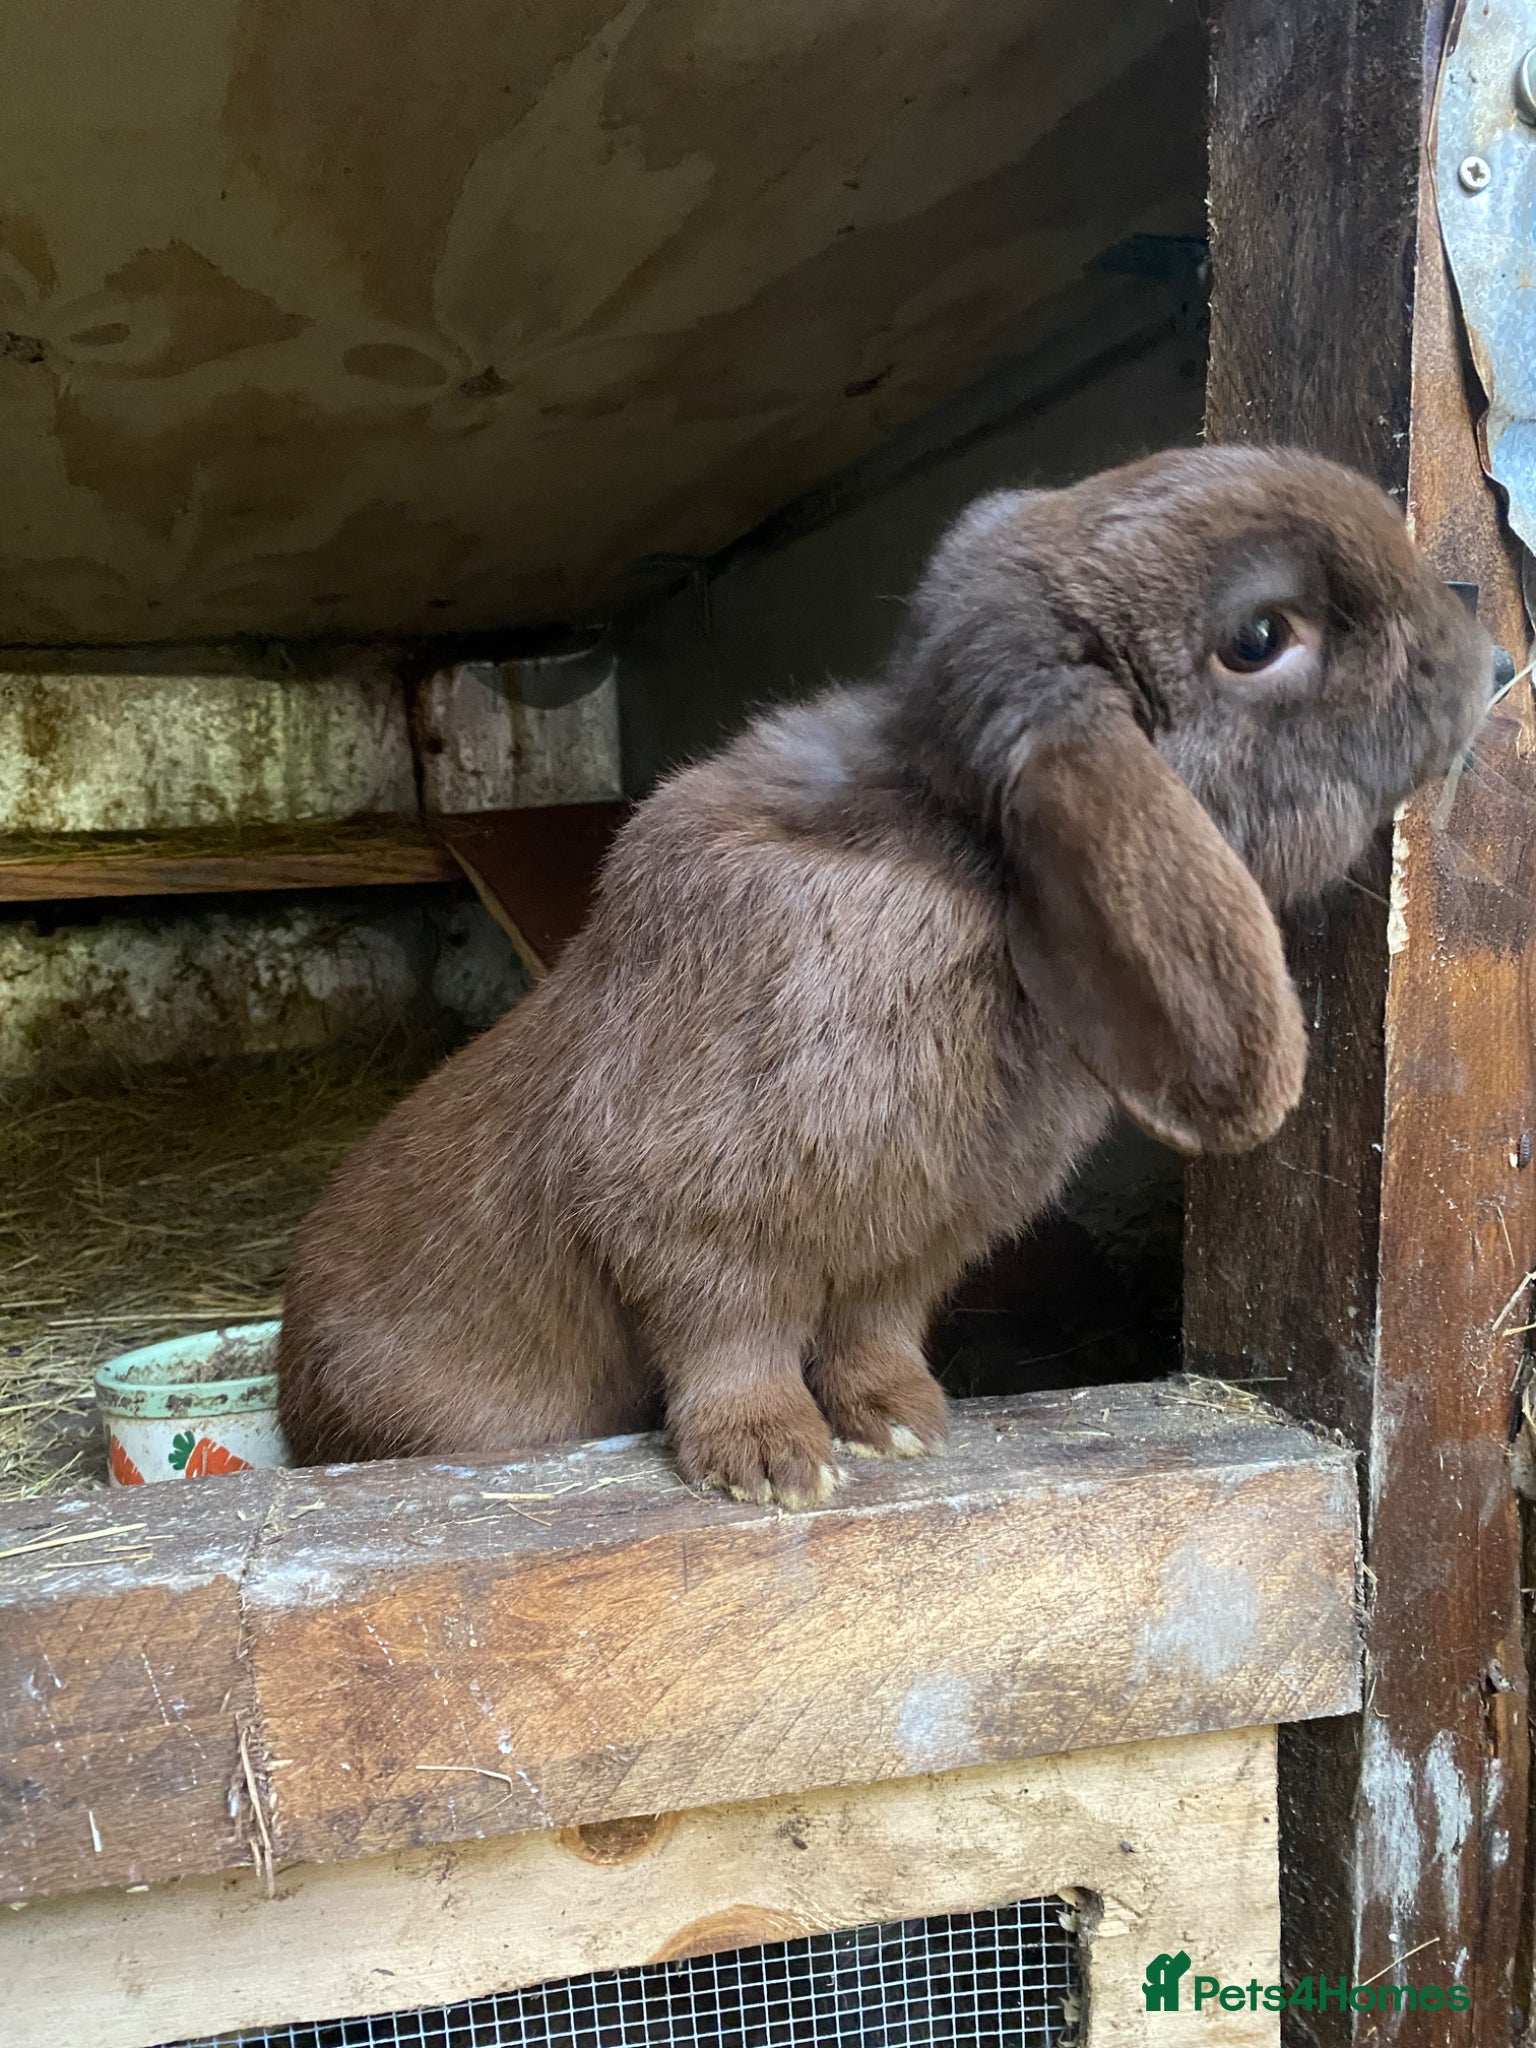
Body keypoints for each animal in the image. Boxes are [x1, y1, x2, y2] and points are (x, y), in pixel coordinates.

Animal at [278, 445, 1490, 1506]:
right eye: (1259, 636)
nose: (1480, 643)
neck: (962, 849)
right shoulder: (698, 1223)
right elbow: (729, 1337)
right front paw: (772, 1465)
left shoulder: (912, 1247)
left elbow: (873, 1330)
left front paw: (903, 1423)